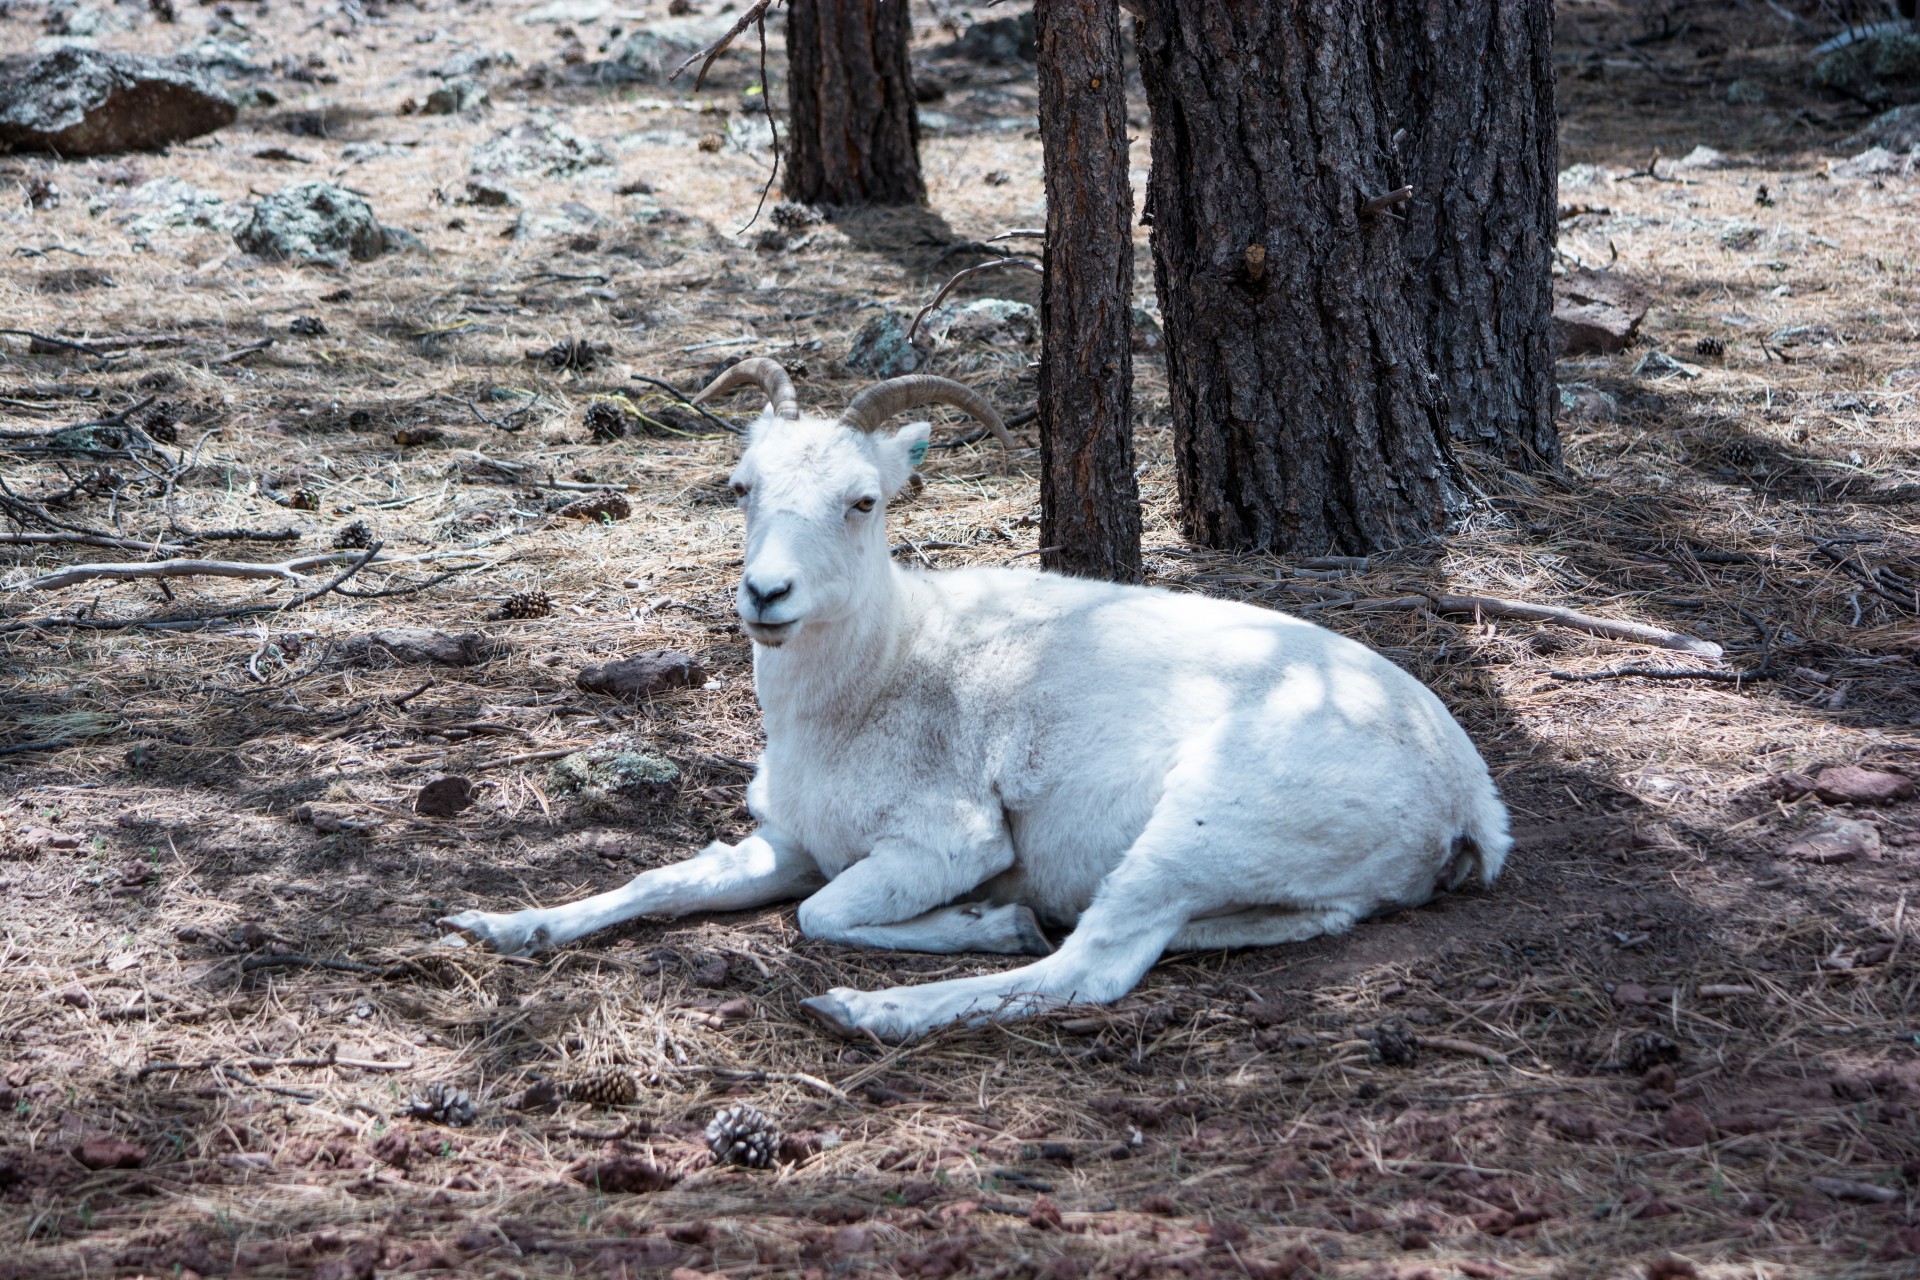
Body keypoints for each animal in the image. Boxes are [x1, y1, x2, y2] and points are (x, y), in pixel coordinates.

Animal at [441, 358, 1505, 1043]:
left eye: (864, 500)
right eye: (741, 486)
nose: (766, 596)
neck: (881, 674)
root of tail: (1469, 800)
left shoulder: (943, 843)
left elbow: (820, 915)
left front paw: (984, 921)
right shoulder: (789, 839)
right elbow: (663, 883)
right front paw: (498, 927)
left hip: (1203, 825)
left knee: (1089, 971)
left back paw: (874, 1011)